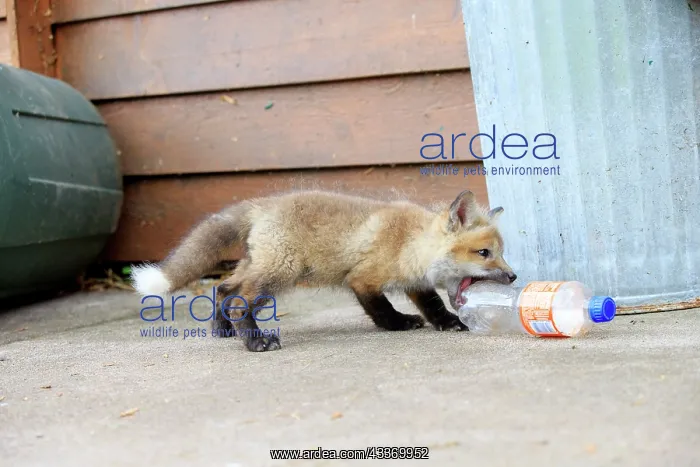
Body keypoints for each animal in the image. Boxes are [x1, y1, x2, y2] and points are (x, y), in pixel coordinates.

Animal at [130, 189, 516, 352]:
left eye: (502, 253)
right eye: (485, 253)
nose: (513, 277)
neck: (409, 242)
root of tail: (263, 203)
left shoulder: (415, 282)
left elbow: (434, 305)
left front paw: (450, 323)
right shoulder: (362, 279)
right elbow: (382, 310)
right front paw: (398, 325)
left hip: (257, 266)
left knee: (223, 289)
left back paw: (223, 330)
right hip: (279, 272)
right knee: (239, 301)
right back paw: (255, 341)